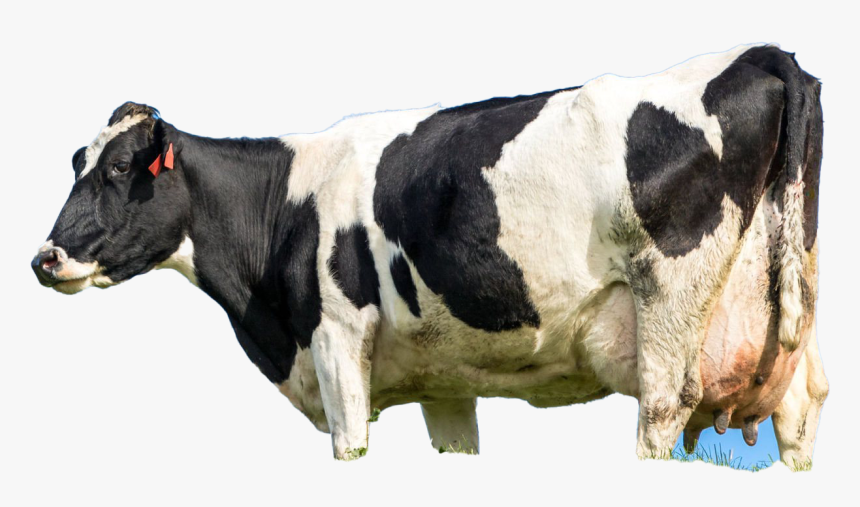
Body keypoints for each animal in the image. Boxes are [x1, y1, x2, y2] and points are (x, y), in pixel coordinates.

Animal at [32, 43, 826, 464]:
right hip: (785, 330)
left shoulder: (336, 342)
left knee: (662, 407)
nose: (44, 258)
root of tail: (757, 55)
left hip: (667, 311)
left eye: (117, 170)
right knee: (803, 409)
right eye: (75, 162)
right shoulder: (445, 379)